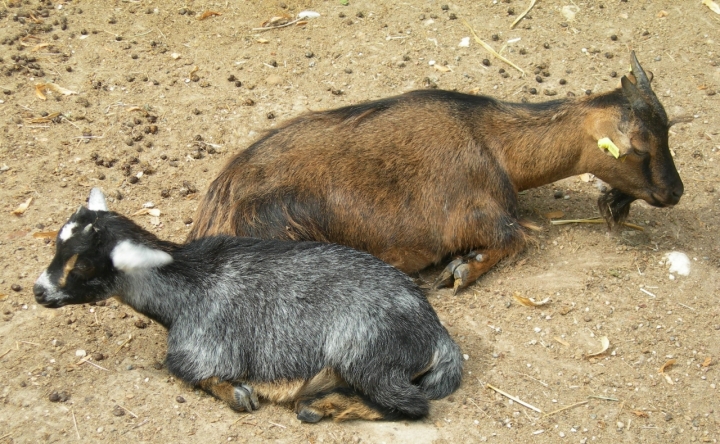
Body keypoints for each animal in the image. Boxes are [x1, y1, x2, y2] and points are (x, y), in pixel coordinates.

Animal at [188, 52, 684, 294]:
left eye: (669, 130)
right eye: (640, 145)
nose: (675, 192)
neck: (495, 142)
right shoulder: (477, 214)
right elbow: (517, 238)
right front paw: (460, 270)